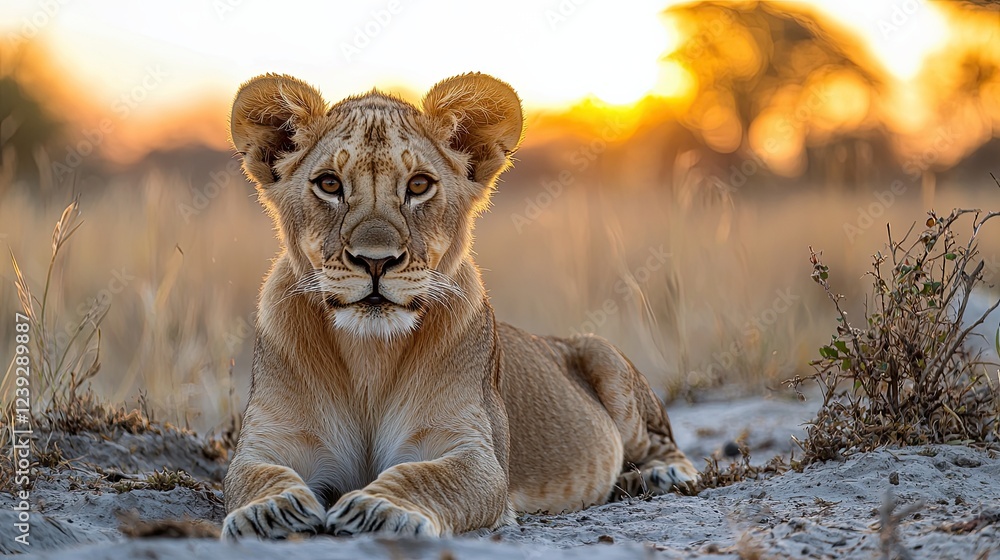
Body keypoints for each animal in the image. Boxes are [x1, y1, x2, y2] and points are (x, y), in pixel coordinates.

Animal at [221, 72, 698, 540]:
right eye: (329, 184)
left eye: (418, 185)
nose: (375, 260)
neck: (370, 354)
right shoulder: (268, 442)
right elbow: (251, 476)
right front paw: (268, 511)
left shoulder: (476, 454)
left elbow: (426, 477)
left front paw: (377, 509)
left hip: (605, 356)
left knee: (663, 442)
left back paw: (660, 476)